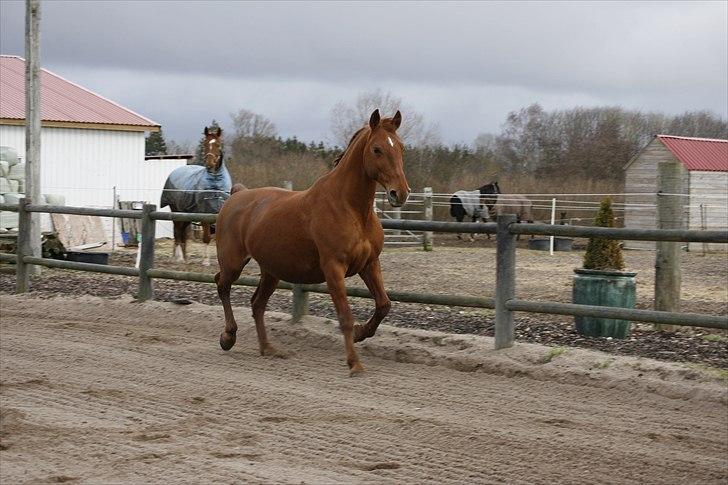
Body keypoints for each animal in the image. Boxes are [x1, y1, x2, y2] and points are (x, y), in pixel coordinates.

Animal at [161, 126, 232, 264]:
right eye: (205, 144)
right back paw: (179, 258)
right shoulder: (204, 214)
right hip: (177, 212)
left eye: (218, 144)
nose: (209, 164)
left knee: (182, 233)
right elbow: (206, 237)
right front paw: (205, 261)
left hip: (187, 215)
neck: (215, 185)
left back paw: (185, 257)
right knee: (177, 232)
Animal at [215, 109, 410, 374]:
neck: (350, 208)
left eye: (401, 147)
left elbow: (384, 305)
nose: (400, 193)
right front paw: (354, 363)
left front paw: (361, 333)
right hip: (233, 263)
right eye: (377, 149)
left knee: (257, 304)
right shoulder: (333, 268)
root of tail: (237, 195)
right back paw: (228, 337)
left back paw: (268, 348)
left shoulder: (370, 264)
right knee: (222, 285)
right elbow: (345, 316)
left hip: (271, 271)